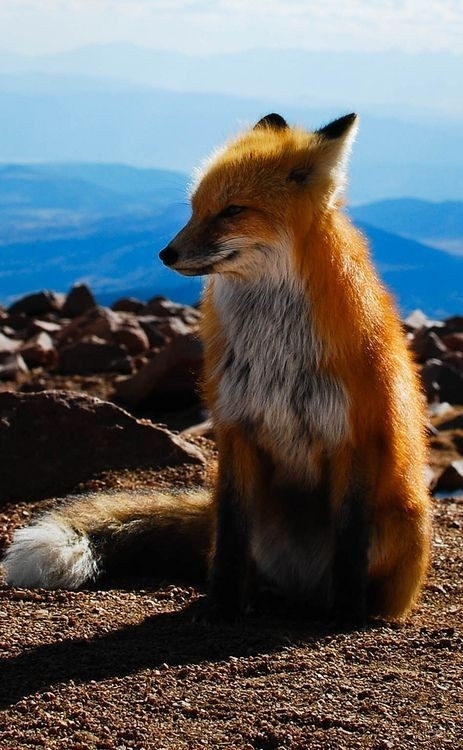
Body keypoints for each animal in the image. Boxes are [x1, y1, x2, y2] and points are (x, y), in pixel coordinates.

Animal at [2, 112, 431, 622]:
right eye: (195, 208)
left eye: (232, 210)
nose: (165, 254)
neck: (275, 350)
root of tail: (304, 586)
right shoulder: (236, 426)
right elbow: (230, 533)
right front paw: (222, 604)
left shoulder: (355, 435)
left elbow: (350, 544)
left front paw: (345, 614)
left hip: (404, 527)